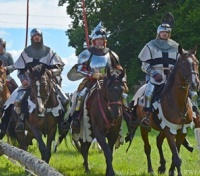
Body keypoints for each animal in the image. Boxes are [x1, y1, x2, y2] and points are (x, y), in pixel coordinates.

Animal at [130, 45, 199, 176]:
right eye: (183, 64)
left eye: (196, 63)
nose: (195, 84)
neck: (177, 102)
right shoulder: (170, 131)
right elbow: (177, 158)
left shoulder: (181, 131)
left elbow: (175, 155)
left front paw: (171, 171)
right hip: (144, 127)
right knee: (147, 147)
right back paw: (151, 170)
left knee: (158, 141)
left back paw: (162, 166)